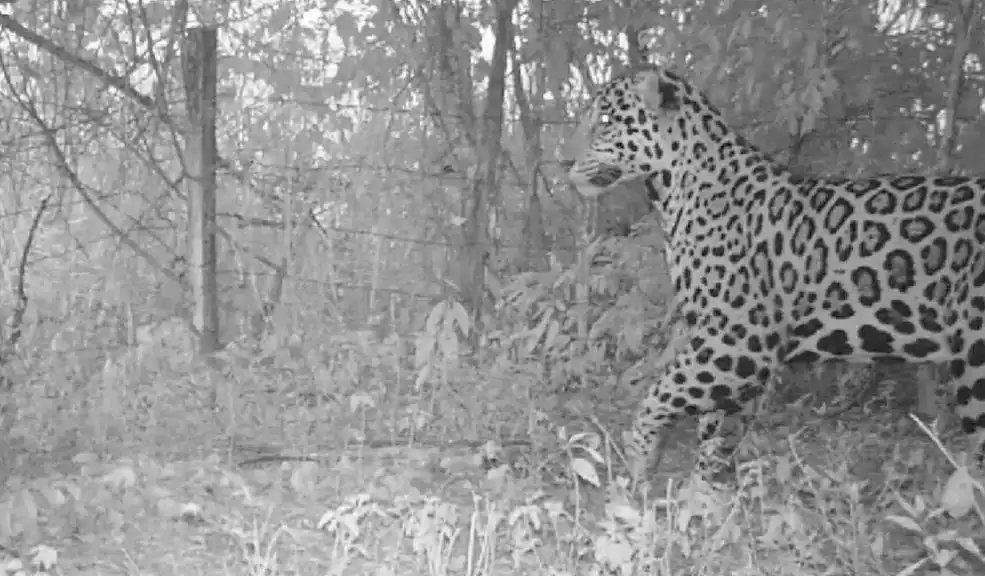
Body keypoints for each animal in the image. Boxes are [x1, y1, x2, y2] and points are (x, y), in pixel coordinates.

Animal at [563, 63, 985, 482]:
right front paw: (700, 493)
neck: (672, 191)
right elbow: (717, 437)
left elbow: (660, 394)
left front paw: (639, 457)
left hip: (975, 361)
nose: (565, 162)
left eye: (604, 121)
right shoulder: (731, 357)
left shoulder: (738, 337)